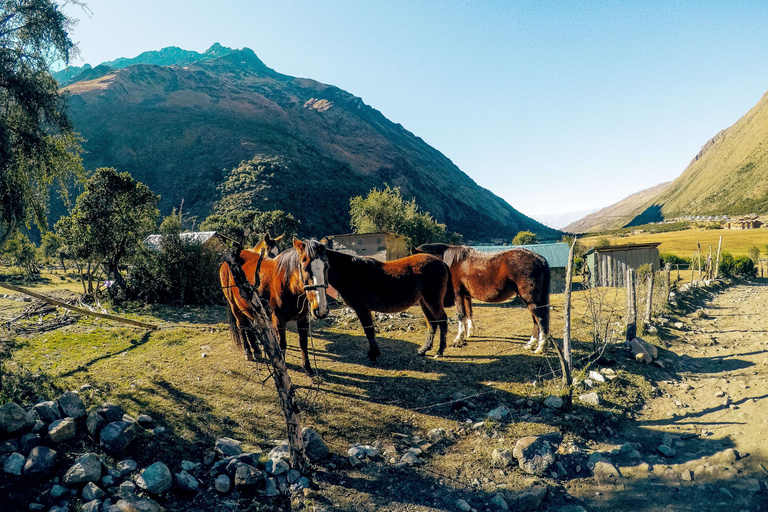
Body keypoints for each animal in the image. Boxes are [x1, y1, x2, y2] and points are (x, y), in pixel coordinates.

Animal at [220, 238, 332, 374]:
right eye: (305, 268)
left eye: (327, 267)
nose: (321, 309)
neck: (289, 285)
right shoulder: (279, 320)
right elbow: (282, 344)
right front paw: (282, 368)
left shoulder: (303, 319)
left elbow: (303, 343)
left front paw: (307, 368)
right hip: (234, 306)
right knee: (241, 325)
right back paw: (248, 351)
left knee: (248, 324)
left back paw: (256, 349)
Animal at [326, 248, 456, 360]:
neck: (351, 272)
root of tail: (441, 262)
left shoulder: (362, 309)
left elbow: (369, 331)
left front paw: (373, 354)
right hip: (424, 302)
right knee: (432, 323)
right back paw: (424, 350)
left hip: (432, 300)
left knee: (442, 320)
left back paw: (439, 352)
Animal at [414, 243, 552, 352]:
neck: (453, 263)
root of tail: (540, 259)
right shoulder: (466, 296)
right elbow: (469, 312)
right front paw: (470, 333)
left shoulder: (458, 294)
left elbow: (461, 315)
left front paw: (459, 338)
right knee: (536, 319)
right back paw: (531, 344)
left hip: (531, 300)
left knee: (540, 318)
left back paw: (540, 347)